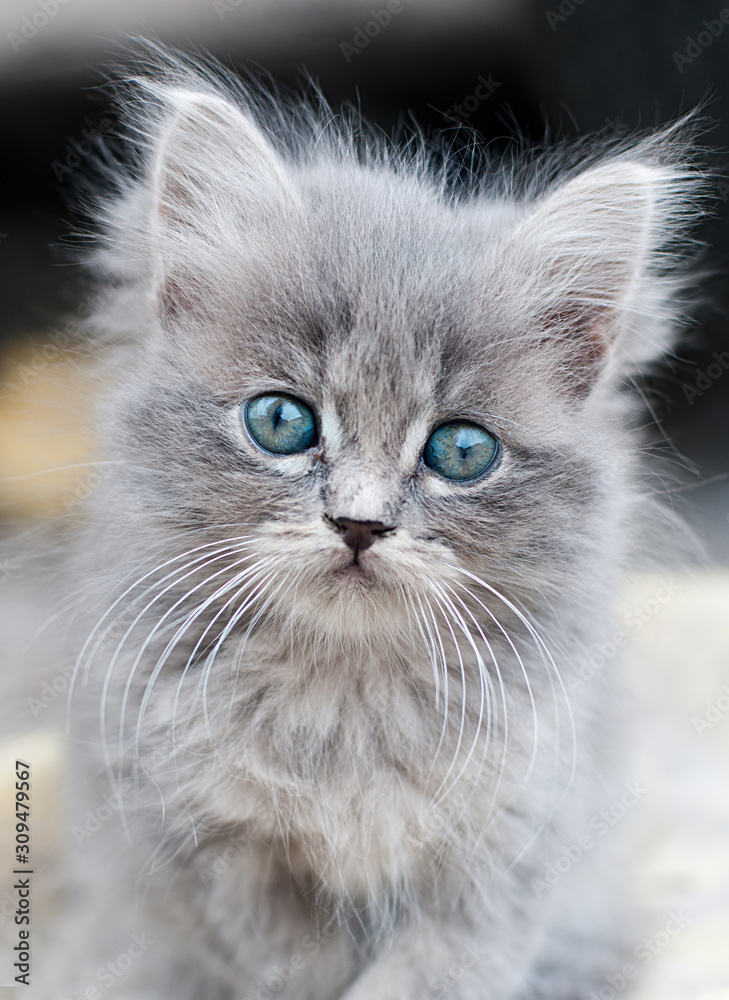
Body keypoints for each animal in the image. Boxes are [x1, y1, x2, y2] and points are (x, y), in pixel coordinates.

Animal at [21, 48, 704, 1000]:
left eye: (460, 450)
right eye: (280, 422)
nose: (358, 524)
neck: (345, 700)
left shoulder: (509, 853)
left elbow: (433, 975)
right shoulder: (207, 857)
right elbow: (288, 968)